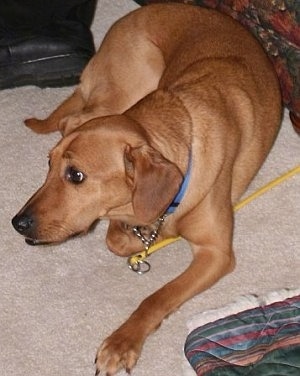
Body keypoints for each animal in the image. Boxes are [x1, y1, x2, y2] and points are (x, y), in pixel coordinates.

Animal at [12, 3, 282, 376]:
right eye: (48, 165)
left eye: (76, 175)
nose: (17, 223)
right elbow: (118, 238)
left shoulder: (215, 253)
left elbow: (157, 296)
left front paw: (121, 342)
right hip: (130, 83)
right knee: (73, 118)